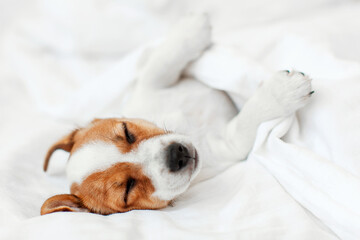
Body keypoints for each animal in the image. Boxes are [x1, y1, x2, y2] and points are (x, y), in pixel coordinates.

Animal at [40, 15, 314, 217]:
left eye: (127, 131)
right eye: (127, 190)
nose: (176, 154)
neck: (189, 127)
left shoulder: (150, 87)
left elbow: (157, 65)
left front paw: (189, 30)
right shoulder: (228, 146)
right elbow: (245, 124)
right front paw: (281, 93)